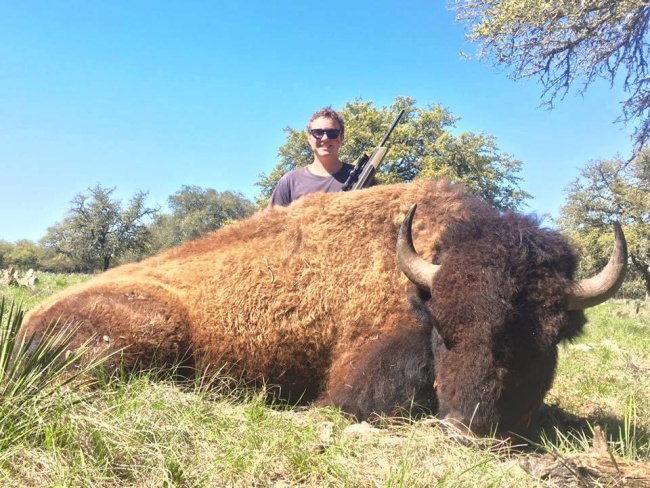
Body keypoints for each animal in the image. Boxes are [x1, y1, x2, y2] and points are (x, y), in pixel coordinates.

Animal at [20, 179, 627, 435]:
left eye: (545, 339)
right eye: (442, 329)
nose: (468, 428)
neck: (419, 274)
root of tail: (29, 317)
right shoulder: (362, 375)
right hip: (149, 332)